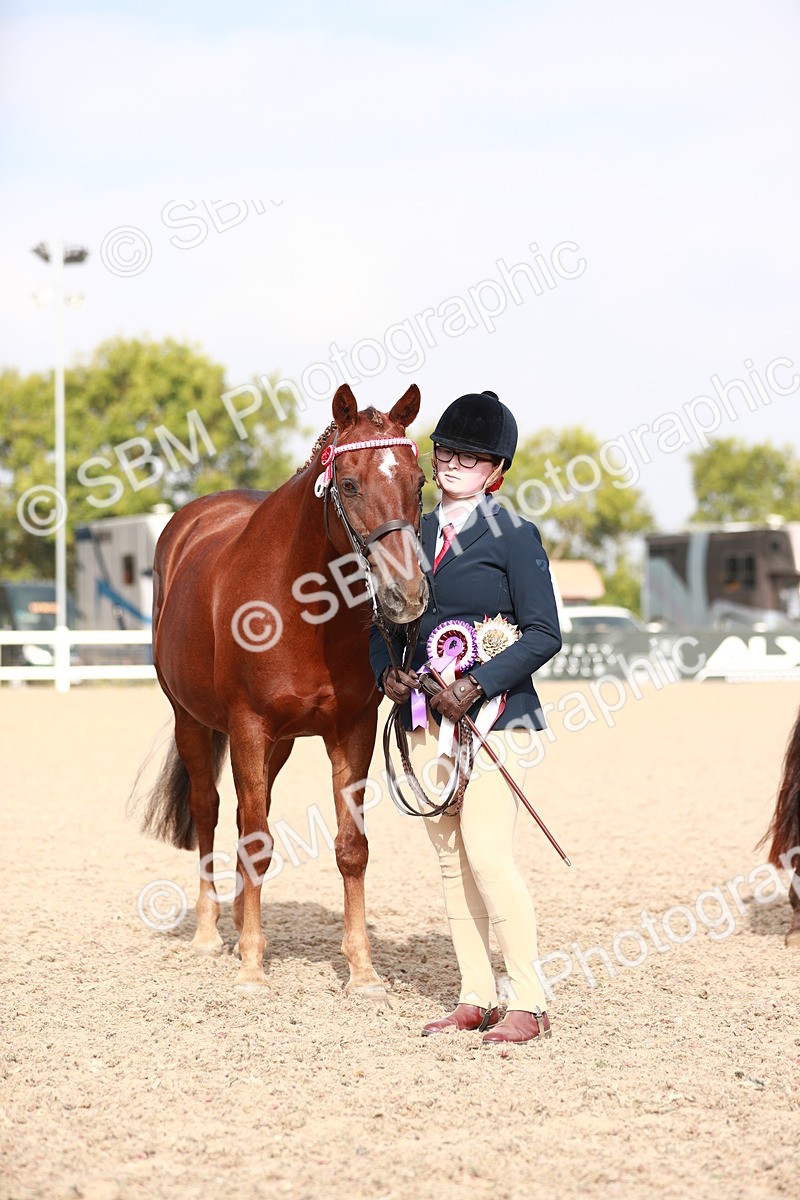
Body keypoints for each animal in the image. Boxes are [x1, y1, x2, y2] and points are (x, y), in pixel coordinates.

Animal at [138, 384, 428, 997]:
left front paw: (362, 969)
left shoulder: (351, 729)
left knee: (248, 813)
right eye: (349, 484)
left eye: (419, 483)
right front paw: (251, 967)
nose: (407, 594)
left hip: (282, 742)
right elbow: (254, 840)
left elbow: (350, 847)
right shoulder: (248, 725)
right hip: (192, 720)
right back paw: (210, 933)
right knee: (210, 811)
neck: (301, 608)